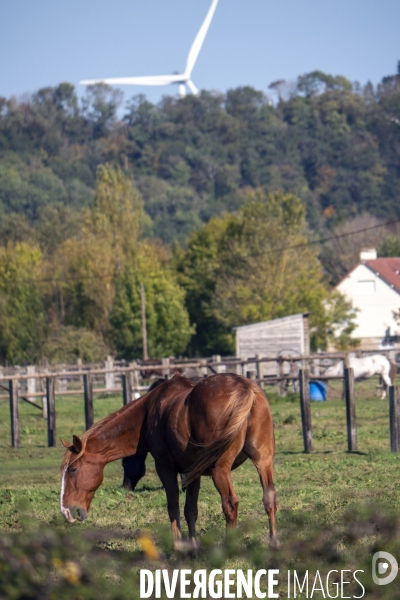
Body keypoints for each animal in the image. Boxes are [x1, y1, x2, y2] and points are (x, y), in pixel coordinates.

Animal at [60, 372, 278, 552]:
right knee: (269, 498)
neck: (149, 412)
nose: (66, 511)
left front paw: (178, 548)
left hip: (220, 469)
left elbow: (173, 507)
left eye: (73, 469)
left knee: (230, 504)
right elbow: (190, 509)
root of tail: (244, 387)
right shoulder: (191, 472)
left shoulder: (165, 468)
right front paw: (193, 547)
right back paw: (273, 543)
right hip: (263, 461)